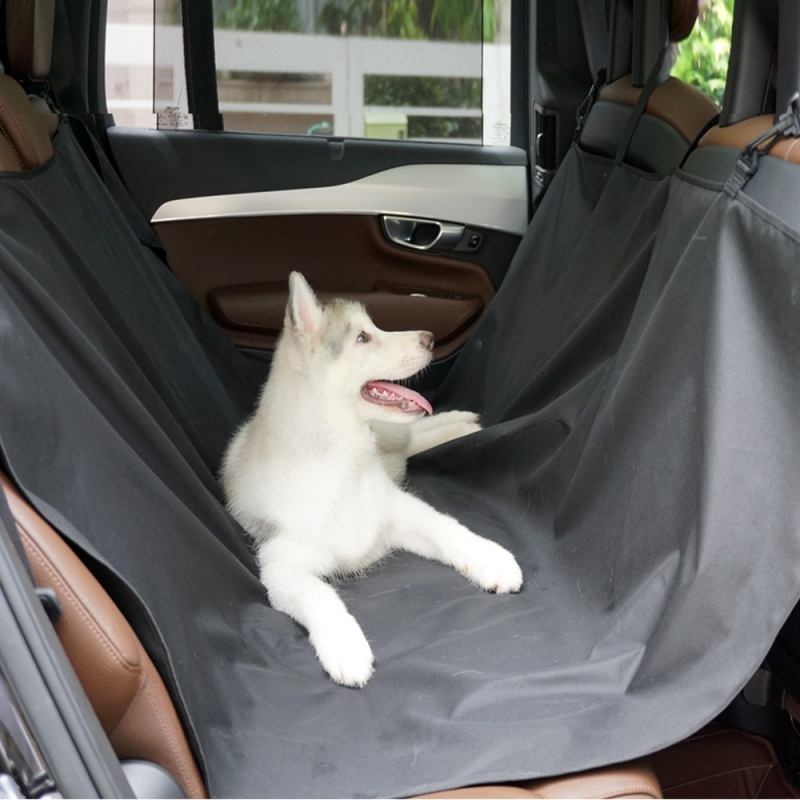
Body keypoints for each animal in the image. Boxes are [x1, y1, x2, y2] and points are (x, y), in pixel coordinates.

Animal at [219, 272, 524, 684]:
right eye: (363, 338)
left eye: (373, 327)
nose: (429, 338)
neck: (344, 461)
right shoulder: (280, 565)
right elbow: (318, 595)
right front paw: (345, 645)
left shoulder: (399, 509)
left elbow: (447, 527)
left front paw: (488, 556)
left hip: (393, 433)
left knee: (414, 434)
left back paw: (460, 422)